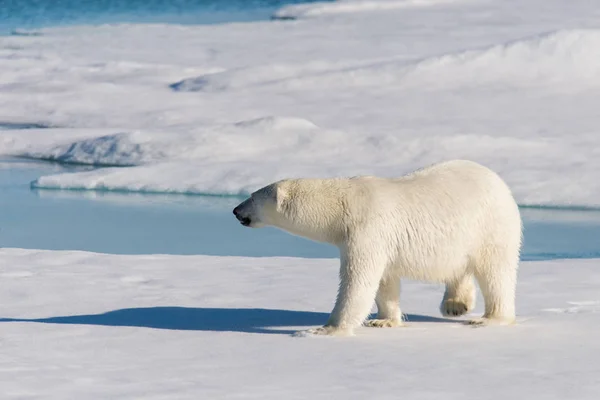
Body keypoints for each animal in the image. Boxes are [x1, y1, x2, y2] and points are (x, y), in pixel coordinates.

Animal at [232, 159, 524, 334]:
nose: (235, 211)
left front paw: (326, 328)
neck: (343, 204)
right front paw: (383, 320)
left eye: (251, 197)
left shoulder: (366, 229)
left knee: (495, 272)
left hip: (491, 226)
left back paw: (488, 317)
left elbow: (358, 280)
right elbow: (385, 280)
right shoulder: (378, 239)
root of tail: (501, 184)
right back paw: (455, 304)